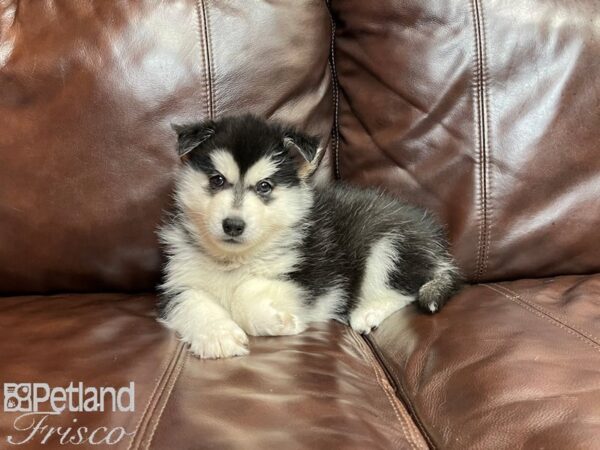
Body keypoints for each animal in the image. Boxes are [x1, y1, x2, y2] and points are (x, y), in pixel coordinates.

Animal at [157, 115, 462, 358]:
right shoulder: (176, 285)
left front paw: (275, 320)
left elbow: (244, 291)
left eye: (265, 186)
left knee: (405, 288)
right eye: (217, 180)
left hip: (388, 243)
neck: (235, 259)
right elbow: (192, 302)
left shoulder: (316, 279)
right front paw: (218, 336)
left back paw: (367, 312)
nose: (233, 225)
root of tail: (435, 241)